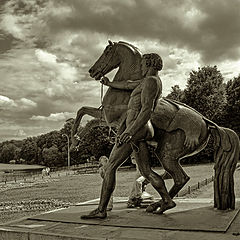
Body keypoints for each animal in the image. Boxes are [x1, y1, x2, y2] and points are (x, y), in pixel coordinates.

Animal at [72, 40, 239, 212]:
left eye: (107, 51)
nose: (92, 71)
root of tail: (207, 122)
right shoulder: (107, 118)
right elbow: (85, 115)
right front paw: (75, 142)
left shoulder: (112, 118)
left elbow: (85, 114)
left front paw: (74, 140)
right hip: (168, 154)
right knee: (171, 176)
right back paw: (156, 204)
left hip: (166, 153)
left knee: (179, 177)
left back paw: (159, 204)